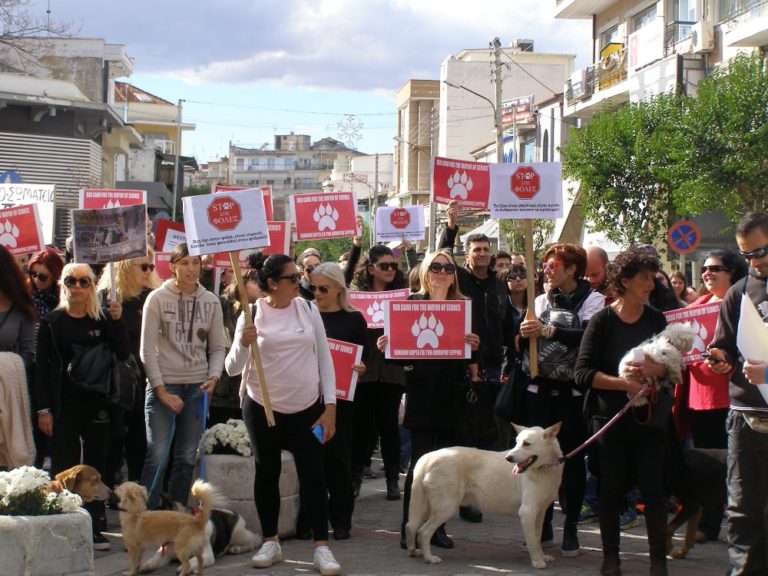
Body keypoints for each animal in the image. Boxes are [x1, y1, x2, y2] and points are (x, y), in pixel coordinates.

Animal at [404, 420, 560, 568]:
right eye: (516, 443)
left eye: (526, 444)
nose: (508, 458)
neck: (545, 469)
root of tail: (428, 457)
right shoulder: (527, 511)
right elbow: (532, 541)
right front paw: (537, 562)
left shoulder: (540, 512)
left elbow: (538, 538)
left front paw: (542, 557)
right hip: (446, 507)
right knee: (423, 532)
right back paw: (429, 558)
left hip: (426, 506)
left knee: (410, 526)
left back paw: (413, 551)